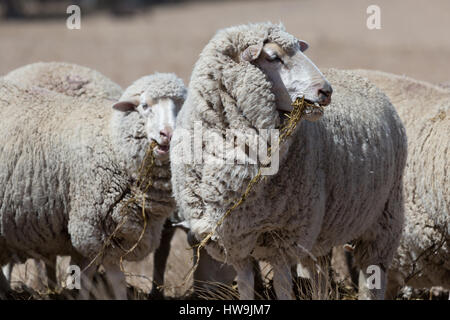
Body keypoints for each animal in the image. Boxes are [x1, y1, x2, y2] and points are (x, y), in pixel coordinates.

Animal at [0, 71, 186, 298]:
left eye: (182, 106)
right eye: (144, 106)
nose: (168, 134)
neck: (112, 142)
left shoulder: (108, 235)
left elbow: (97, 279)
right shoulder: (95, 230)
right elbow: (102, 279)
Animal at [170, 22, 408, 300]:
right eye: (273, 57)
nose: (326, 91)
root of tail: (357, 76)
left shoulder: (284, 238)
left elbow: (283, 287)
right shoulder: (234, 238)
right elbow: (246, 285)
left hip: (384, 218)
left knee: (372, 274)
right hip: (323, 229)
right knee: (319, 270)